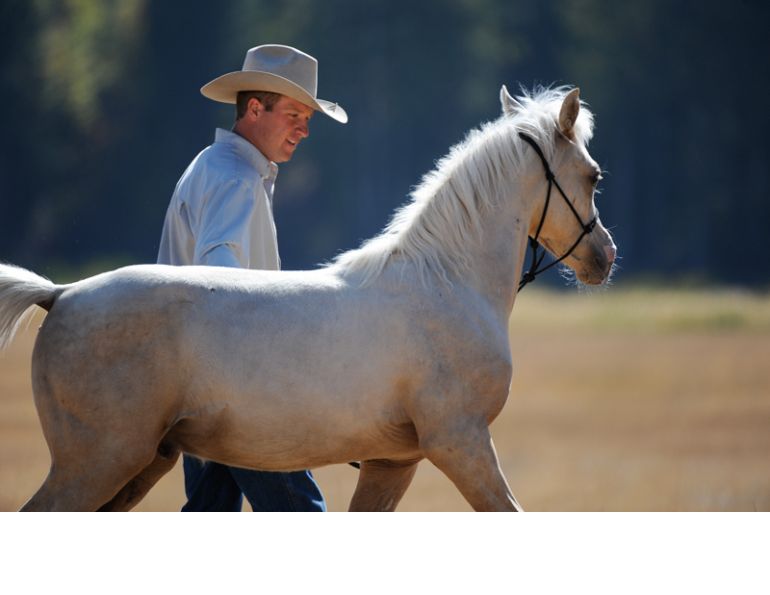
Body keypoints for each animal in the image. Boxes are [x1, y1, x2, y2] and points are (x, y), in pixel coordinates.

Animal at [0, 85, 616, 511]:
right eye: (593, 175)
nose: (605, 257)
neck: (445, 283)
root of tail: (62, 294)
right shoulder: (460, 442)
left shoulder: (393, 463)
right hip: (98, 462)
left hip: (142, 464)